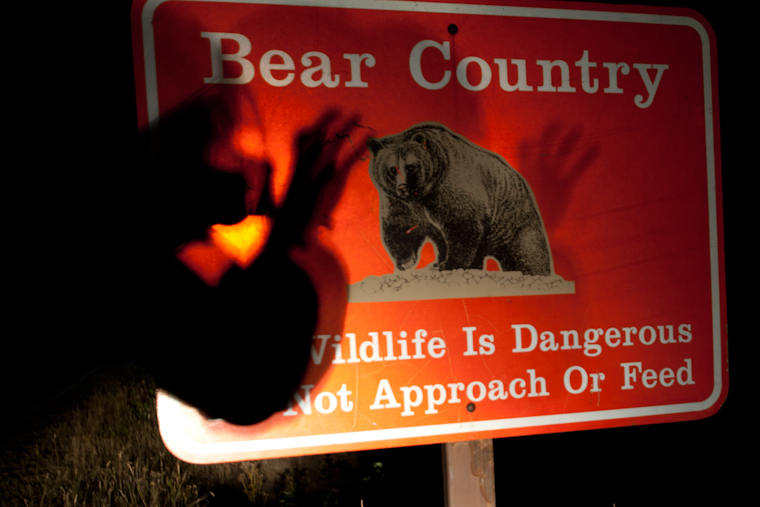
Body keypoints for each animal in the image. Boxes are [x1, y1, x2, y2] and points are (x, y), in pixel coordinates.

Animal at [367, 123, 552, 275]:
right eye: (392, 168)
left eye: (411, 166)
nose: (402, 187)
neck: (422, 194)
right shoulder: (398, 201)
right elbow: (399, 224)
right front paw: (406, 261)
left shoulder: (450, 190)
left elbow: (463, 226)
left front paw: (448, 264)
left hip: (513, 222)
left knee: (528, 253)